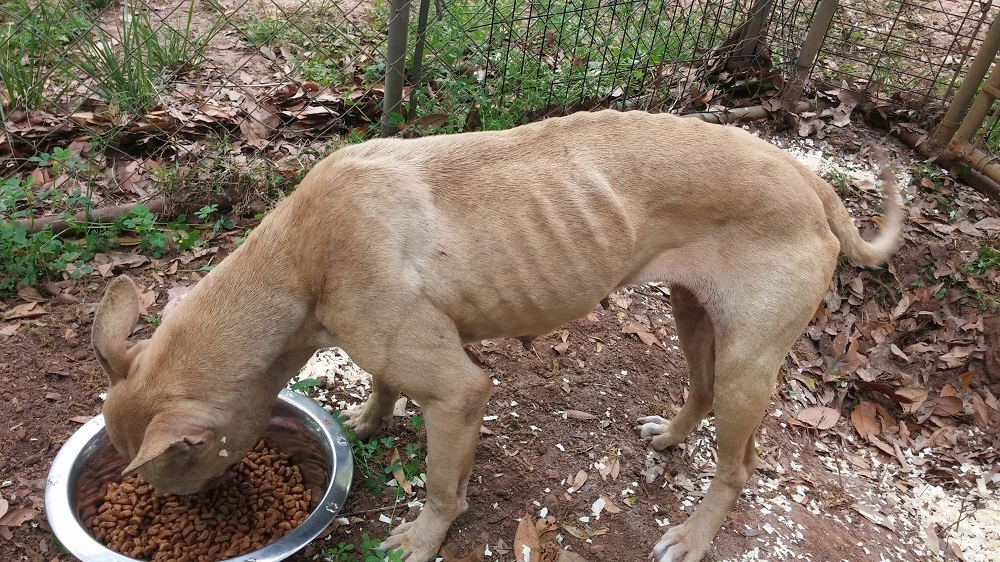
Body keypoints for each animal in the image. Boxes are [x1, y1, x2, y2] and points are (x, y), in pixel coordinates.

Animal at [92, 110, 901, 562]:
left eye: (180, 473)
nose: (191, 517)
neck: (297, 256)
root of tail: (807, 177)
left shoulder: (459, 394)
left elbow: (443, 487)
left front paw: (423, 540)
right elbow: (383, 381)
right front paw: (371, 417)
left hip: (746, 364)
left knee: (737, 468)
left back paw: (694, 537)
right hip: (694, 315)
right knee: (697, 395)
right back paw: (671, 436)